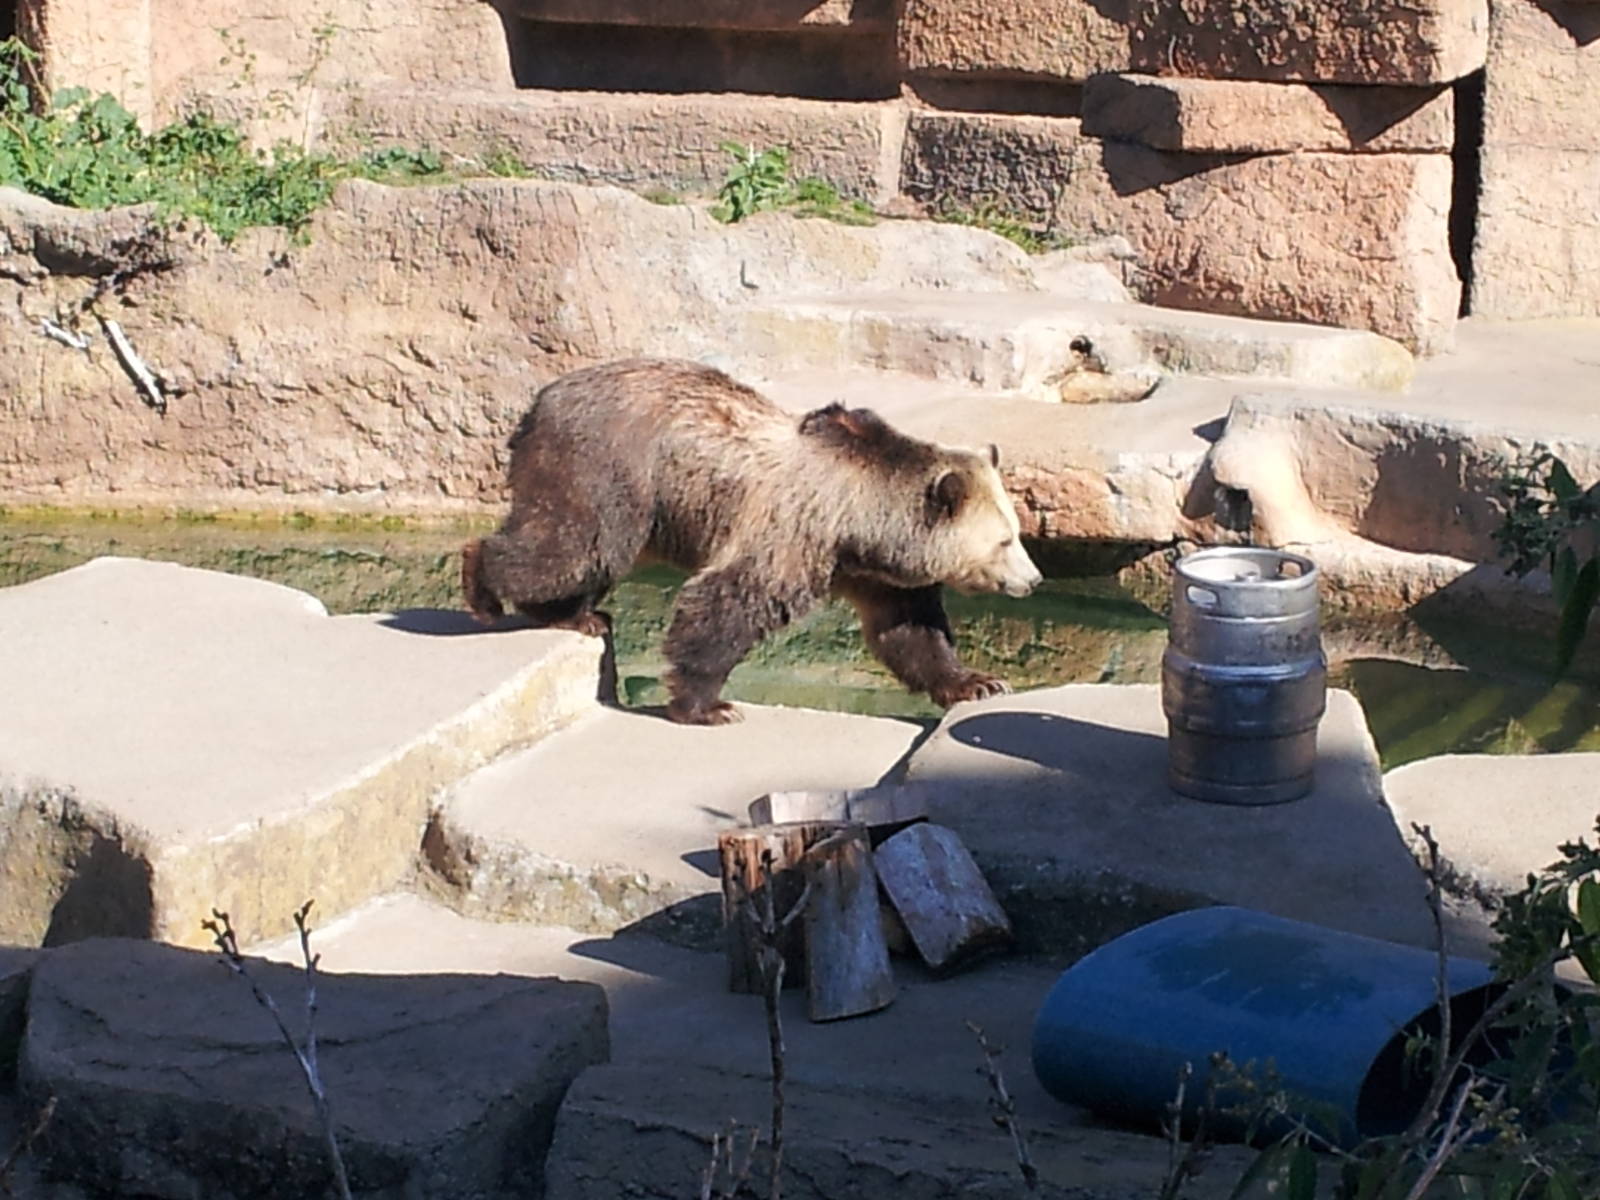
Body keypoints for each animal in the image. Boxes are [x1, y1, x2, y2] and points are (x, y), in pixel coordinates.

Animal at [462, 357, 1043, 725]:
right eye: (1005, 541)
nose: (1034, 580)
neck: (862, 520)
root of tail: (543, 398)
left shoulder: (870, 570)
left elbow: (909, 630)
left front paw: (978, 682)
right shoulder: (796, 530)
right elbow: (727, 602)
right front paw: (709, 706)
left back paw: (574, 615)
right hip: (607, 467)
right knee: (572, 545)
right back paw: (485, 585)